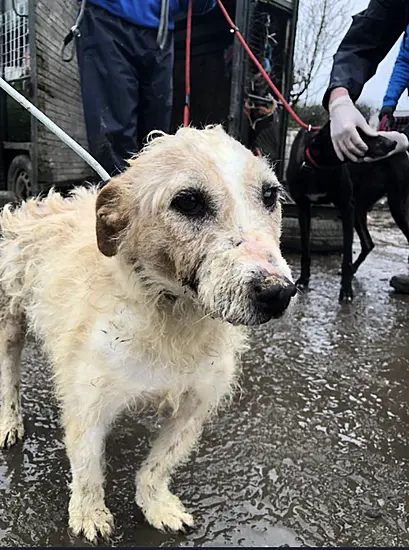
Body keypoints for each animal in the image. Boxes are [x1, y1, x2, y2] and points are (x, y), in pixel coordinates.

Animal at [0, 126, 294, 544]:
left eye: (270, 195)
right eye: (188, 201)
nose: (278, 293)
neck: (171, 316)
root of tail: (37, 201)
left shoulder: (195, 404)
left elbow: (159, 463)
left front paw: (156, 505)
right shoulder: (86, 403)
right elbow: (88, 468)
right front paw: (89, 514)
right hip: (10, 321)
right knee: (9, 373)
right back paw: (10, 422)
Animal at [286, 125, 409, 304]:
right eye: (359, 133)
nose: (393, 143)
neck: (320, 166)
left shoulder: (346, 207)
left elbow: (347, 256)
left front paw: (346, 291)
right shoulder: (303, 208)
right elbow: (305, 250)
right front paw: (303, 280)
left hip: (396, 206)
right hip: (359, 208)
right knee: (368, 243)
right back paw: (354, 269)